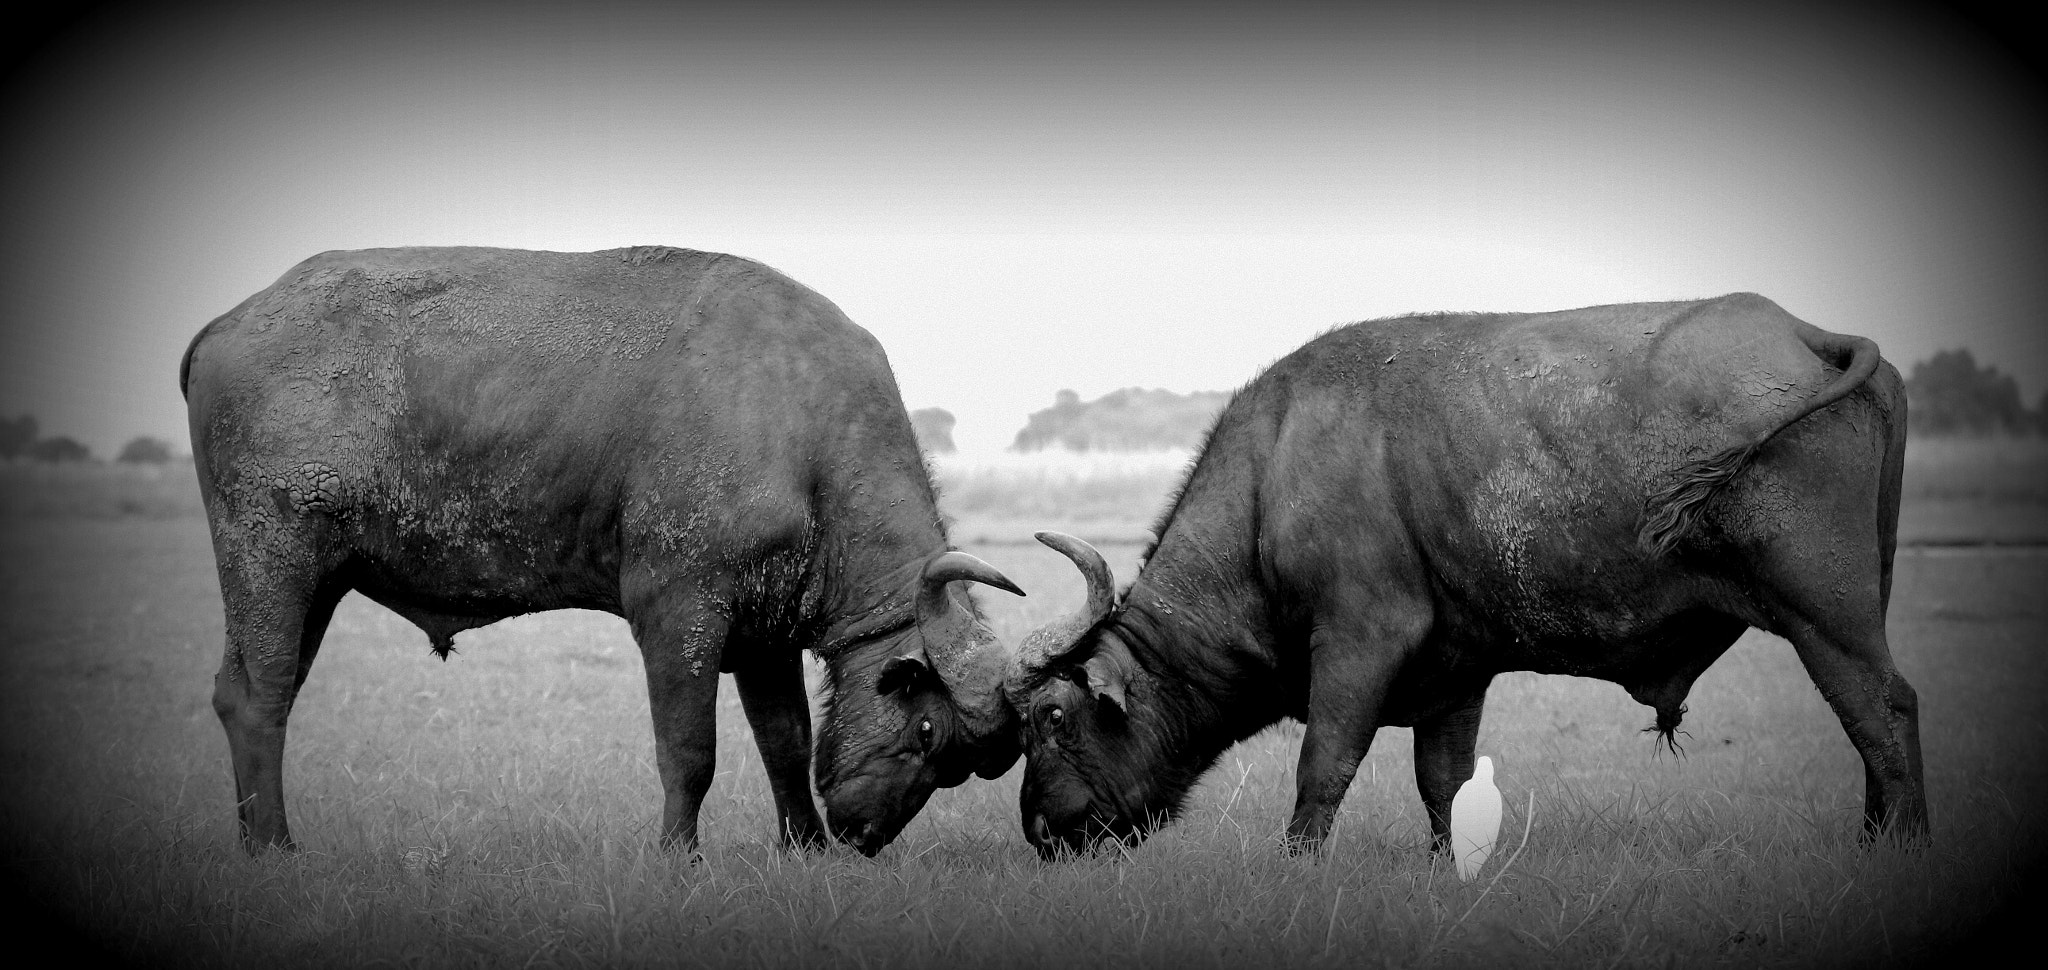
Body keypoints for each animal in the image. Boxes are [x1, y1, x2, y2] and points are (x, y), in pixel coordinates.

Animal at [183, 245, 1024, 857]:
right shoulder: (678, 615)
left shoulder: (766, 635)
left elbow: (785, 742)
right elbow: (690, 751)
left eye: (956, 767)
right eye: (927, 731)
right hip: (271, 560)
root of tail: (226, 324)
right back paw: (274, 847)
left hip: (319, 582)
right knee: (258, 697)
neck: (803, 430)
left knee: (252, 693)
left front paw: (804, 848)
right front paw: (680, 857)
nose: (863, 835)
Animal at [1008, 293, 1924, 858]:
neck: (1275, 478)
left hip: (1826, 615)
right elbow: (1441, 784)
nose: (1040, 832)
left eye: (1051, 718)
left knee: (1881, 712)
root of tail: (1807, 334)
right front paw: (1451, 864)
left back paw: (1896, 843)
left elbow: (1324, 763)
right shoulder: (1457, 676)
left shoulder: (1360, 641)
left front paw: (1297, 864)